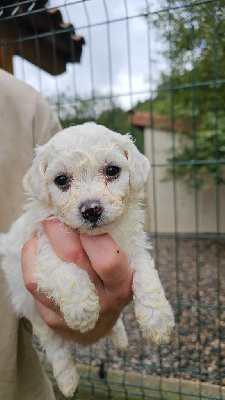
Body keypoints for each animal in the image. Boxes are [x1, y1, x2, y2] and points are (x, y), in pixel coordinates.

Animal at [0, 122, 174, 396]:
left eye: (112, 170)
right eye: (61, 180)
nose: (91, 209)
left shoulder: (133, 248)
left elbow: (147, 276)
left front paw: (157, 320)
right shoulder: (40, 248)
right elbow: (66, 271)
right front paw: (81, 309)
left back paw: (120, 337)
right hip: (30, 307)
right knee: (55, 346)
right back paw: (67, 381)